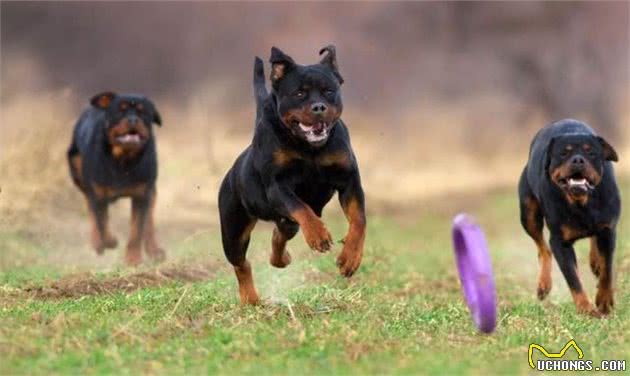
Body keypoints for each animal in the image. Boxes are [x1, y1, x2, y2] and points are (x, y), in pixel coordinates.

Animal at [67, 92, 165, 266]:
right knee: (91, 210)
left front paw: (133, 259)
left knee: (149, 220)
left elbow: (136, 230)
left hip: (151, 190)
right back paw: (97, 243)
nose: (133, 120)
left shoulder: (141, 195)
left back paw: (154, 250)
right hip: (78, 171)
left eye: (143, 112)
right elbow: (101, 222)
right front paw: (109, 241)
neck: (122, 160)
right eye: (120, 110)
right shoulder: (98, 195)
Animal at [220, 46, 368, 306]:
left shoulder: (349, 181)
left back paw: (281, 259)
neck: (309, 148)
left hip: (285, 224)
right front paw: (319, 235)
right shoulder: (277, 186)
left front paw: (350, 258)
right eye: (299, 93)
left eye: (329, 91)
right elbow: (301, 207)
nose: (318, 107)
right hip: (233, 231)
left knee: (279, 235)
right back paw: (250, 299)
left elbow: (359, 219)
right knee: (241, 263)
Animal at [520, 119, 620, 316]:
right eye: (563, 153)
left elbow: (607, 269)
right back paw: (544, 285)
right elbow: (573, 278)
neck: (581, 204)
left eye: (591, 152)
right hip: (528, 215)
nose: (578, 159)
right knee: (543, 248)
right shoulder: (560, 242)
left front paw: (604, 301)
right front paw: (586, 308)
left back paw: (595, 262)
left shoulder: (608, 230)